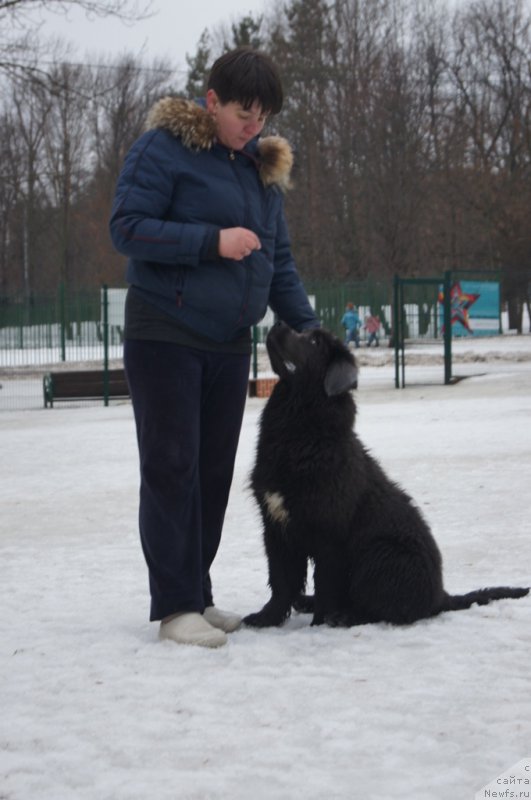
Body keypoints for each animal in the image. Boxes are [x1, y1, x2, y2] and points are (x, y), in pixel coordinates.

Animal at [244, 322, 528, 628]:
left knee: (383, 609)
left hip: (380, 555)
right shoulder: (275, 527)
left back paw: (342, 616)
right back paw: (307, 603)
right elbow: (281, 580)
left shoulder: (329, 534)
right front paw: (267, 618)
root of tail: (439, 595)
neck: (301, 430)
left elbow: (325, 583)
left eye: (315, 341)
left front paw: (320, 623)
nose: (277, 324)